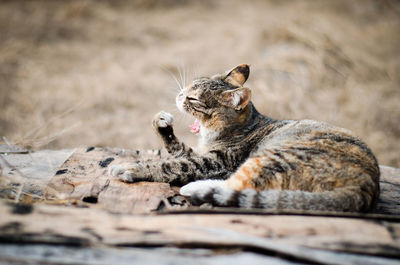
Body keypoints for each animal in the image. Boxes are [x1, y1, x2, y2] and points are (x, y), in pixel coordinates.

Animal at [108, 64, 380, 212]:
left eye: (193, 98)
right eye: (189, 86)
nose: (179, 94)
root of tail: (367, 184)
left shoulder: (214, 161)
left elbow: (169, 165)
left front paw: (131, 168)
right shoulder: (199, 152)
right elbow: (177, 148)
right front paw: (161, 122)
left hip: (272, 158)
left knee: (235, 186)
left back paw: (194, 189)